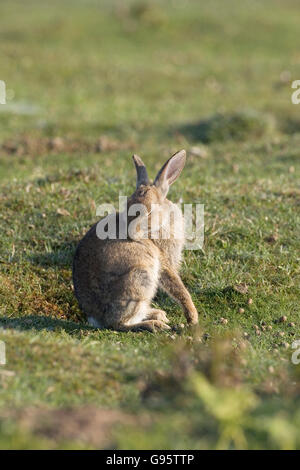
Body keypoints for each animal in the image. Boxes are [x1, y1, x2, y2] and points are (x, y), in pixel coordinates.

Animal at [72, 150, 199, 330]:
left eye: (150, 211)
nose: (131, 231)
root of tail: (96, 318)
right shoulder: (164, 261)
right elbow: (178, 288)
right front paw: (193, 318)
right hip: (139, 279)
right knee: (118, 324)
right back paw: (155, 324)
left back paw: (158, 314)